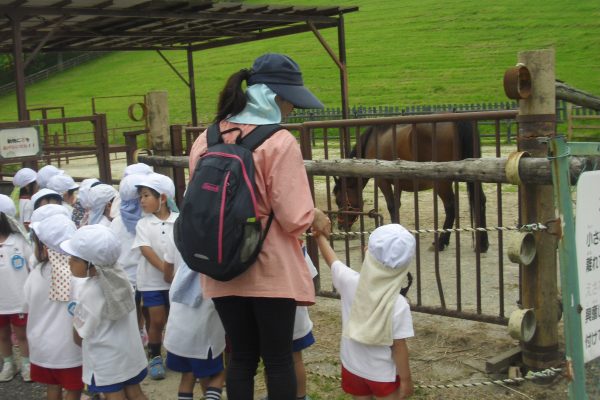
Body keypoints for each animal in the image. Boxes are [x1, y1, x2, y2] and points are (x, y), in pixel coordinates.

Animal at [332, 120, 488, 252]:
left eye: (339, 201)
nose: (340, 225)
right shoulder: (398, 183)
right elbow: (396, 206)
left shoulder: (382, 181)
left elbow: (391, 206)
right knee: (480, 201)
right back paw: (482, 244)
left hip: (442, 183)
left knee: (451, 207)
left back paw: (440, 243)